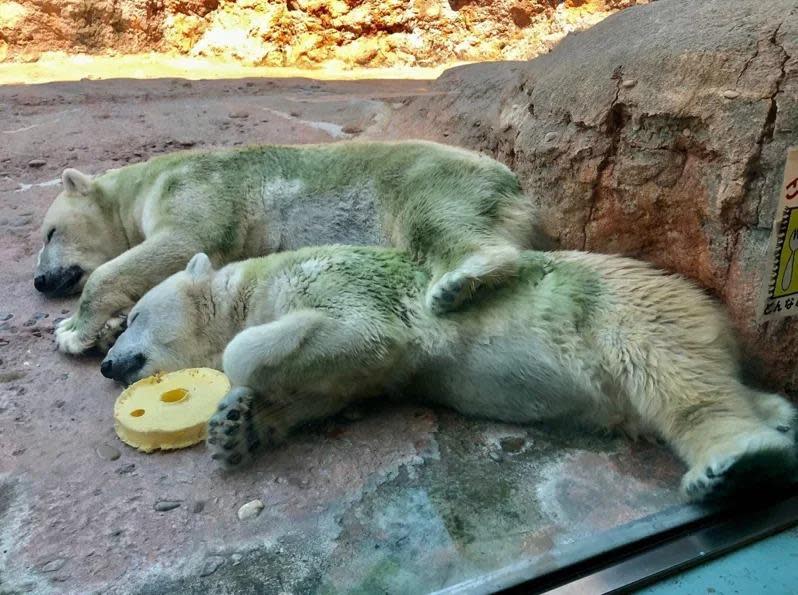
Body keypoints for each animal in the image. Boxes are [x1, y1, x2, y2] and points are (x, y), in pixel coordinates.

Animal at [32, 140, 544, 354]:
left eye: (49, 233)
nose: (39, 280)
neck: (145, 184)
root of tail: (515, 187)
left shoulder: (195, 188)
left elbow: (182, 241)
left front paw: (71, 331)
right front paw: (107, 329)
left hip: (423, 180)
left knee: (435, 219)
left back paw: (458, 282)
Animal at [104, 244, 798, 500]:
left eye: (131, 316)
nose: (108, 364)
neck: (250, 286)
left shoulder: (339, 282)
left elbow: (350, 333)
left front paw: (239, 384)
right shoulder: (368, 368)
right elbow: (339, 380)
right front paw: (238, 426)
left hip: (620, 306)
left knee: (672, 374)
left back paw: (737, 461)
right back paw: (776, 414)